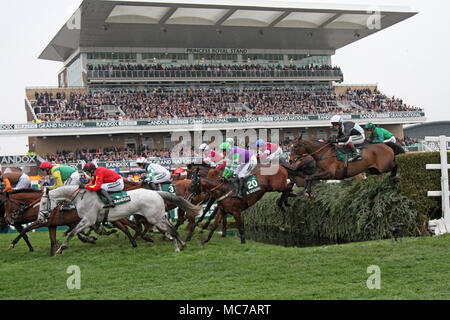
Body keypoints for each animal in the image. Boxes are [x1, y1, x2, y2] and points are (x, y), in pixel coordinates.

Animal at [40, 185, 202, 255]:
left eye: (42, 203)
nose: (41, 218)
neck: (81, 197)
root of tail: (156, 192)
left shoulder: (88, 219)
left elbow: (73, 232)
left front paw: (61, 249)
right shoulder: (94, 221)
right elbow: (84, 231)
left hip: (154, 217)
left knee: (170, 229)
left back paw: (176, 247)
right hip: (158, 216)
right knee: (171, 228)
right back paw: (181, 244)